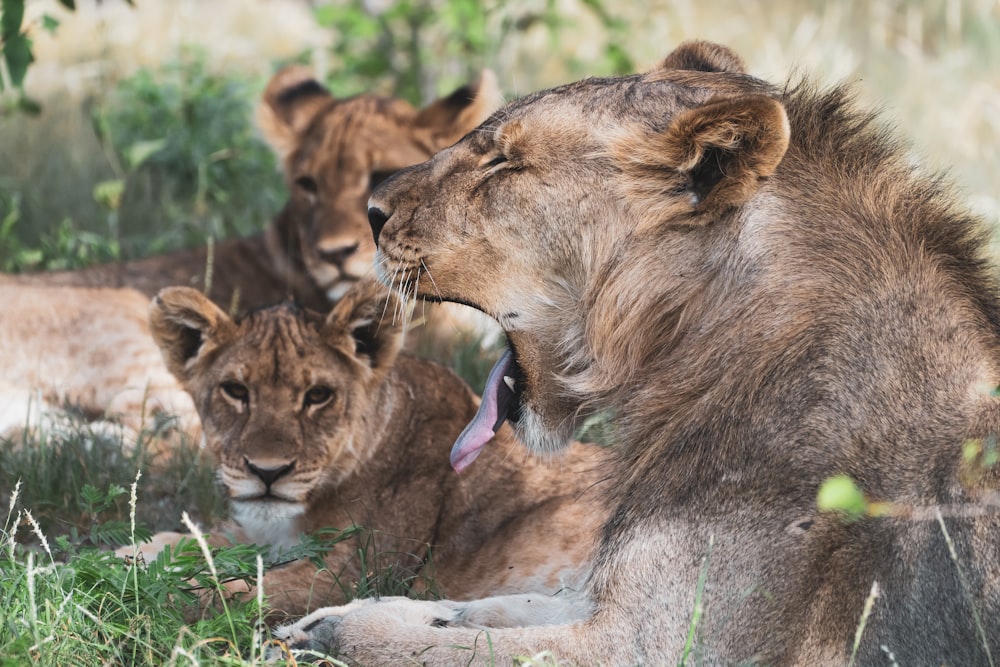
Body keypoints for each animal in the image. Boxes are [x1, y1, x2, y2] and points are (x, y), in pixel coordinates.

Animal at [139, 278, 600, 620]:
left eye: (318, 395)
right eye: (235, 391)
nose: (267, 473)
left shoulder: (357, 573)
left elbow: (231, 590)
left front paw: (146, 595)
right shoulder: (262, 535)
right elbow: (185, 540)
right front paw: (137, 555)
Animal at [278, 43, 1000, 667]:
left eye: (503, 164)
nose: (371, 213)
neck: (691, 356)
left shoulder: (664, 644)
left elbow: (453, 648)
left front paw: (338, 633)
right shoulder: (617, 601)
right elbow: (494, 606)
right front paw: (341, 612)